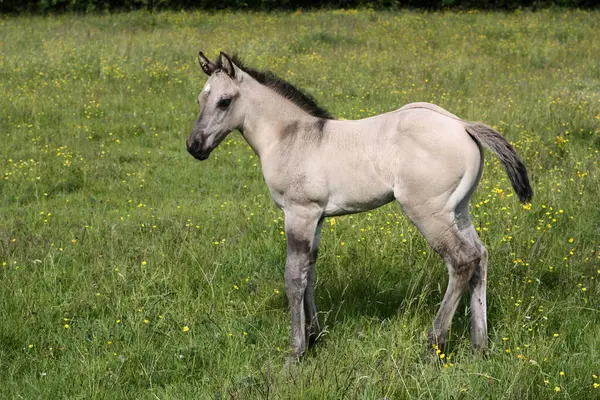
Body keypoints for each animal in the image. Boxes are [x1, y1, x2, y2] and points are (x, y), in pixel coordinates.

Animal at [185, 50, 532, 360]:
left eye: (224, 101)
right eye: (200, 100)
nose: (193, 146)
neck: (292, 137)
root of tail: (462, 125)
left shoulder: (298, 213)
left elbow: (294, 278)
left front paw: (296, 351)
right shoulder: (317, 217)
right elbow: (310, 272)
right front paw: (314, 336)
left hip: (427, 213)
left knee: (462, 260)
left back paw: (436, 343)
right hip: (458, 210)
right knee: (480, 257)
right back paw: (479, 346)